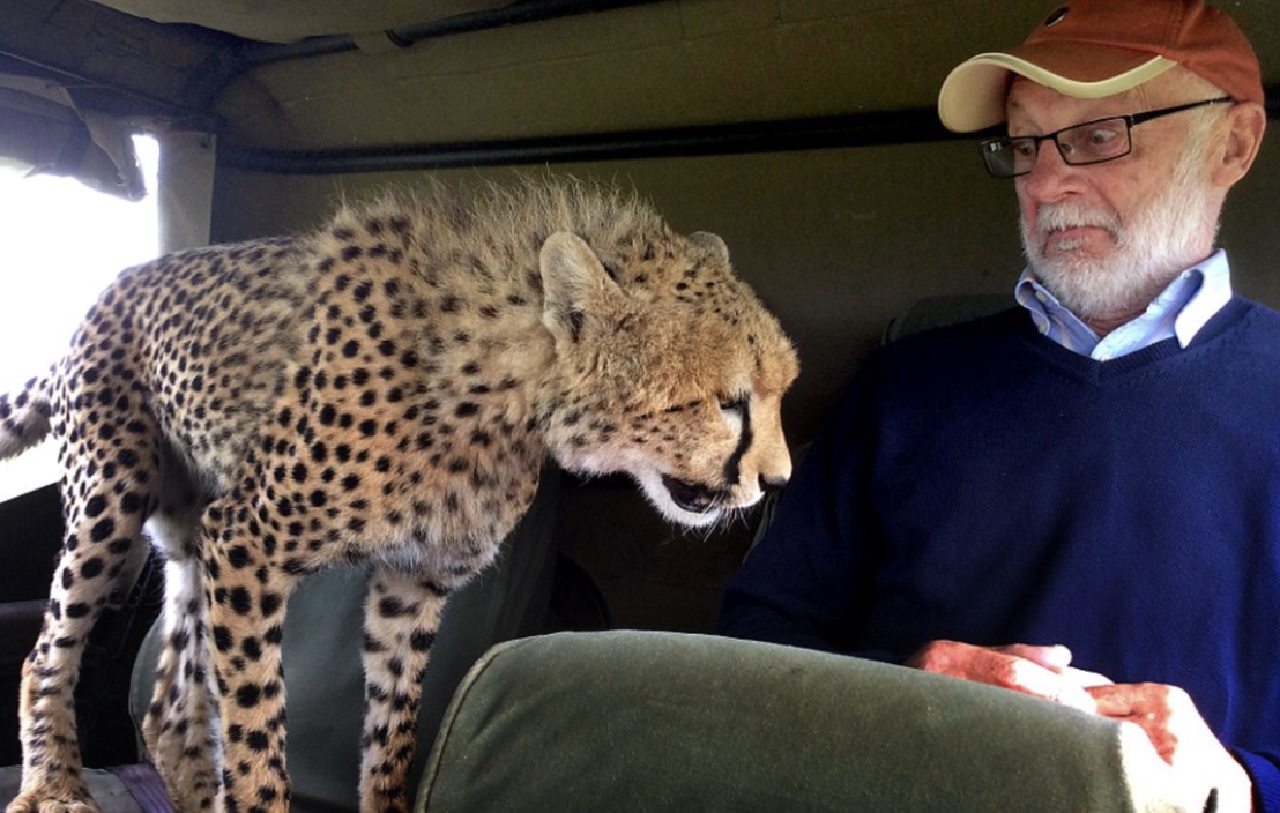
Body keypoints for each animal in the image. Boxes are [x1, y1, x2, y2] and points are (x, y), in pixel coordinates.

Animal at [2, 179, 798, 813]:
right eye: (727, 402)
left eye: (779, 391)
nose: (779, 480)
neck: (503, 392)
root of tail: (108, 289)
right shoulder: (246, 542)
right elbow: (257, 728)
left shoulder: (411, 583)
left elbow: (391, 735)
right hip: (114, 496)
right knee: (46, 653)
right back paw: (54, 787)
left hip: (188, 535)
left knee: (167, 707)